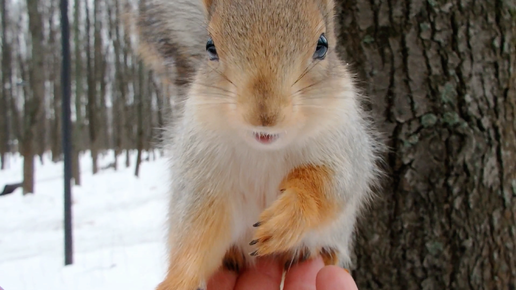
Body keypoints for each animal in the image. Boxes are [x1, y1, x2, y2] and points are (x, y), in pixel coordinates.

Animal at [133, 0, 382, 290]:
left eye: (322, 45)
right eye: (210, 47)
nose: (264, 114)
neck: (266, 150)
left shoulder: (344, 146)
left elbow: (332, 185)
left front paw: (289, 215)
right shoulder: (203, 169)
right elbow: (198, 230)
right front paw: (178, 280)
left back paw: (318, 251)